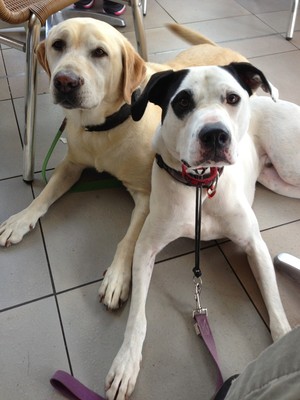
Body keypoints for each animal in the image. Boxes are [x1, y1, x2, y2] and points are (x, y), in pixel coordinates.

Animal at [105, 64, 290, 398]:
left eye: (232, 98)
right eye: (182, 102)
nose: (215, 134)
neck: (200, 187)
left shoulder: (255, 245)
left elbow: (276, 308)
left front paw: (283, 346)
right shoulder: (146, 247)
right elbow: (137, 318)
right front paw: (125, 363)